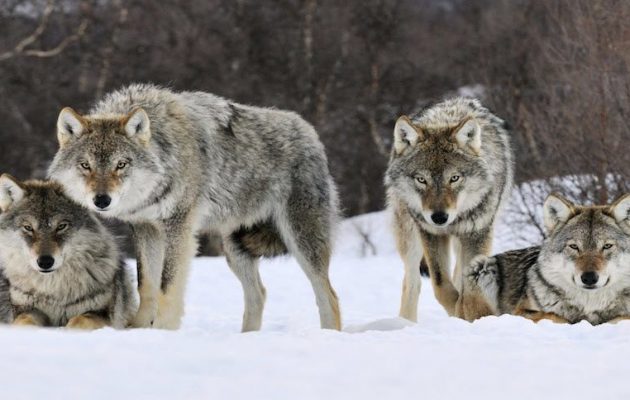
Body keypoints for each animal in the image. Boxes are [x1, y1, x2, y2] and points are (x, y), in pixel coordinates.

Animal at [0, 175, 138, 328]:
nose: (45, 262)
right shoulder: (25, 310)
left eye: (61, 226)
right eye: (28, 227)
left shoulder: (102, 314)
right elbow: (25, 321)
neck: (54, 291)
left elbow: (79, 321)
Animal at [48, 83, 344, 332]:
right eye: (86, 165)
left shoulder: (178, 227)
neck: (165, 153)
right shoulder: (146, 228)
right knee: (259, 294)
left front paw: (163, 331)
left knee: (329, 296)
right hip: (235, 249)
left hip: (301, 241)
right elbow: (147, 285)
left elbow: (167, 287)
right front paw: (139, 329)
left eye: (121, 164)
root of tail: (310, 133)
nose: (101, 200)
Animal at [388, 98, 516, 320]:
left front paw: (467, 312)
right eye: (421, 180)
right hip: (410, 236)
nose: (439, 217)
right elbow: (441, 286)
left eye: (454, 178)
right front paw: (458, 311)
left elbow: (467, 285)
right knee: (412, 282)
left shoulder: (477, 234)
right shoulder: (430, 233)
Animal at [466, 191, 630, 324]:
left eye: (607, 246)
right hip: (481, 267)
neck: (589, 306)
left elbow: (621, 317)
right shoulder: (520, 312)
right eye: (574, 247)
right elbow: (555, 316)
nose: (589, 278)